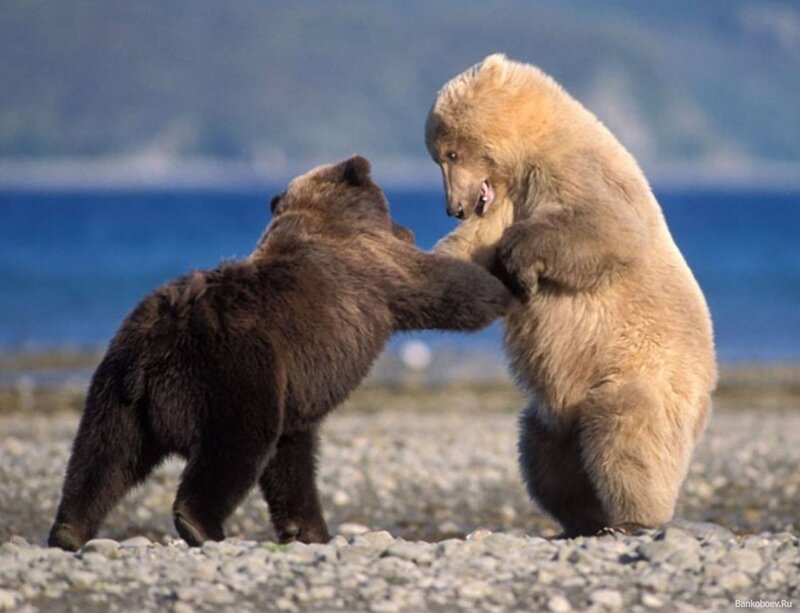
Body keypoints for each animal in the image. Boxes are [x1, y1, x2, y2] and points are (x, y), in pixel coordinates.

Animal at [48, 155, 512, 551]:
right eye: (392, 208)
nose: (409, 230)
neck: (321, 215)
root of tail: (159, 345)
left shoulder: (297, 392)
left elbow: (291, 464)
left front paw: (306, 530)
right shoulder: (374, 268)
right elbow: (445, 287)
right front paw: (503, 282)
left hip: (118, 383)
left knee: (103, 455)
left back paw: (69, 530)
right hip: (235, 371)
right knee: (234, 445)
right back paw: (200, 525)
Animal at [425, 54, 717, 536]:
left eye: (449, 152)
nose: (454, 207)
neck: (527, 155)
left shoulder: (577, 173)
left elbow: (606, 228)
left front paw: (520, 262)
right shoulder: (505, 200)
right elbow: (471, 251)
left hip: (644, 371)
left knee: (628, 434)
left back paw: (633, 518)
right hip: (555, 415)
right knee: (545, 456)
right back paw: (580, 517)